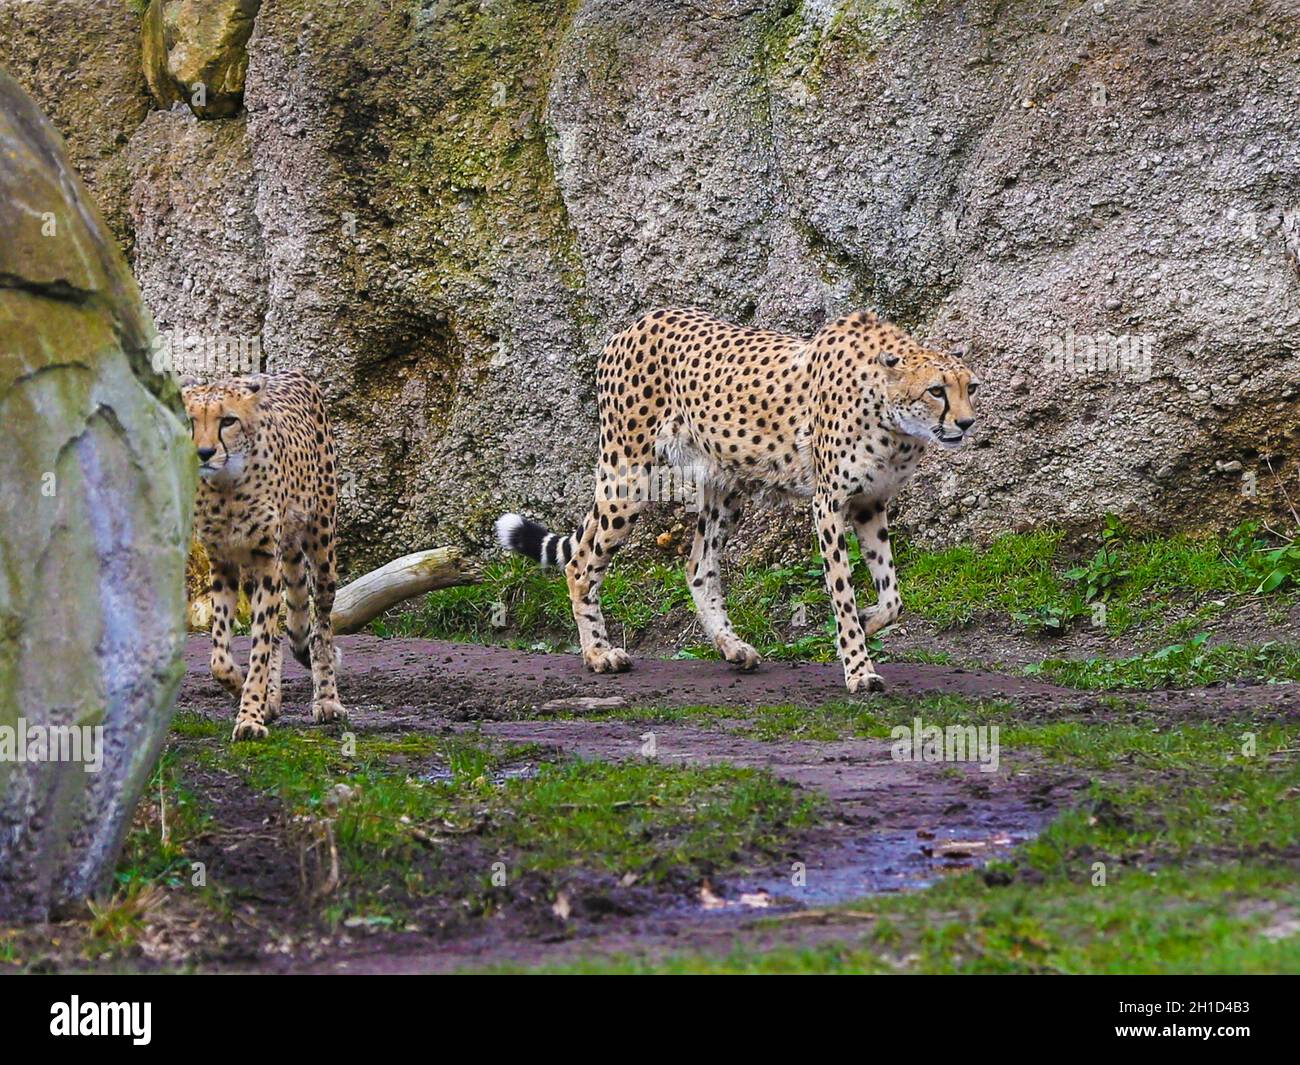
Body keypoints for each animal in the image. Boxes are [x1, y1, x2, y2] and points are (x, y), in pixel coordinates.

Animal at [183, 371, 348, 743]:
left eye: (227, 420)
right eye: (191, 422)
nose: (203, 452)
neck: (227, 488)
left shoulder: (265, 561)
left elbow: (260, 644)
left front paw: (249, 717)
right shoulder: (223, 564)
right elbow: (220, 656)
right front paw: (241, 687)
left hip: (321, 544)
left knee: (320, 626)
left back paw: (327, 700)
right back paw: (270, 700)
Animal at [491, 308, 977, 696]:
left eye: (969, 387)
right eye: (936, 390)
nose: (967, 423)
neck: (894, 422)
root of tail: (634, 324)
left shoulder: (870, 504)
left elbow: (892, 597)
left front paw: (866, 620)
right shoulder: (829, 504)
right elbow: (842, 591)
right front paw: (858, 667)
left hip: (724, 487)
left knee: (698, 566)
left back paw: (733, 647)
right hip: (628, 475)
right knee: (582, 563)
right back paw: (598, 654)